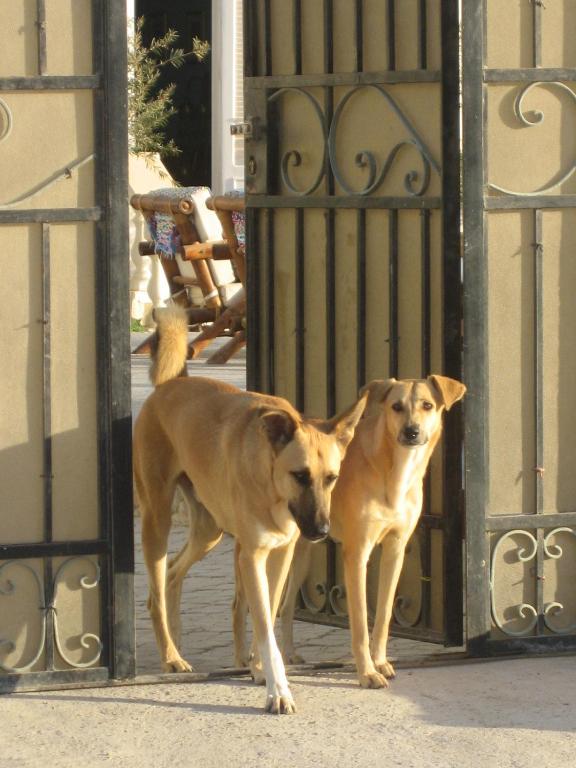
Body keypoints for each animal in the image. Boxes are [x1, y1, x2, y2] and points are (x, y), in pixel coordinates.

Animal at [133, 306, 366, 712]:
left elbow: (268, 615)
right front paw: (278, 690)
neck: (271, 486)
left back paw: (177, 641)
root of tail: (170, 385)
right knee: (155, 594)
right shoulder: (252, 555)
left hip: (208, 532)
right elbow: (263, 624)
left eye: (332, 478)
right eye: (300, 475)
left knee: (173, 573)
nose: (321, 531)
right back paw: (171, 656)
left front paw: (258, 670)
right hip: (157, 518)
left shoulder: (281, 553)